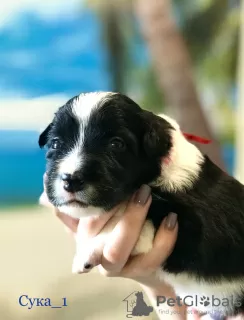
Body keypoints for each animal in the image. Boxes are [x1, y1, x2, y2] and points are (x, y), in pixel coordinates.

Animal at [38, 91, 244, 316]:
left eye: (116, 144)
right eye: (56, 144)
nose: (71, 180)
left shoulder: (190, 231)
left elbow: (126, 224)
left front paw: (88, 249)